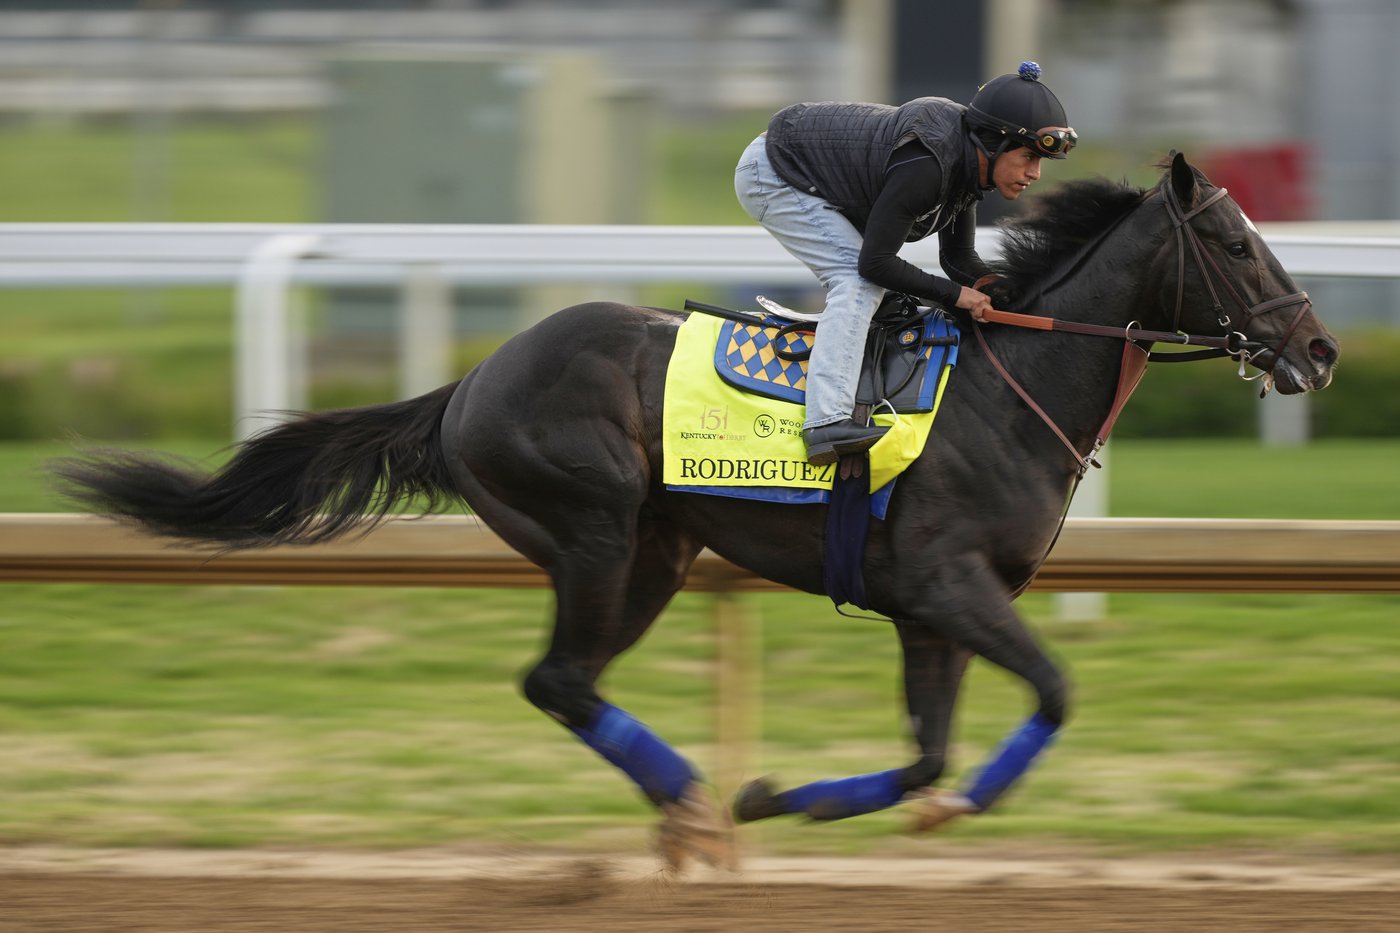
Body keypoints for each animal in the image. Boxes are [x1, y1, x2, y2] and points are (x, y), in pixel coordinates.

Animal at [54, 152, 1338, 870]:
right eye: (1233, 242)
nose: (1319, 349)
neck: (1005, 385)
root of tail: (468, 382)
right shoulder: (946, 583)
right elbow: (1052, 693)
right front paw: (934, 809)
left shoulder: (929, 610)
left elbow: (923, 754)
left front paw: (796, 799)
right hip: (594, 531)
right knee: (558, 681)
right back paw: (687, 808)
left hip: (656, 557)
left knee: (568, 685)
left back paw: (697, 810)